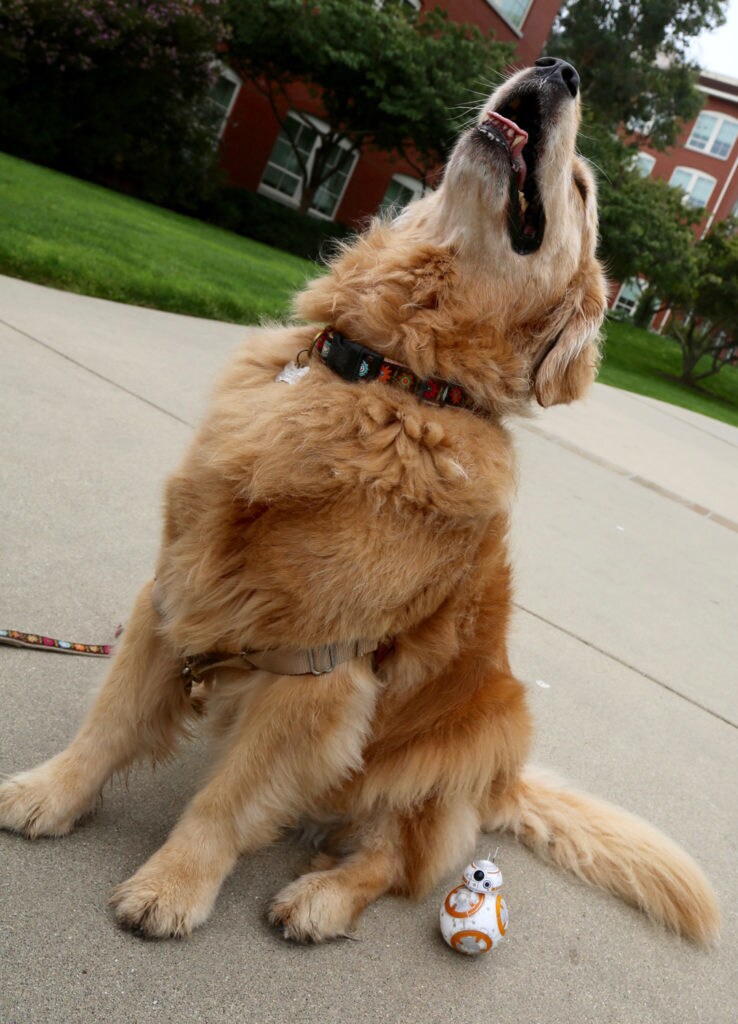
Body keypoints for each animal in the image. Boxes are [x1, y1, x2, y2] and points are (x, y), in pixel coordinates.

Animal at [0, 59, 716, 942]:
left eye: (580, 190)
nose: (562, 68)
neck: (388, 374)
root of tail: (501, 786)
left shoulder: (320, 669)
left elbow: (226, 800)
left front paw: (173, 885)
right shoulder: (173, 590)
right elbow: (108, 725)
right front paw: (49, 794)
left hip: (456, 752)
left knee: (392, 865)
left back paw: (320, 897)